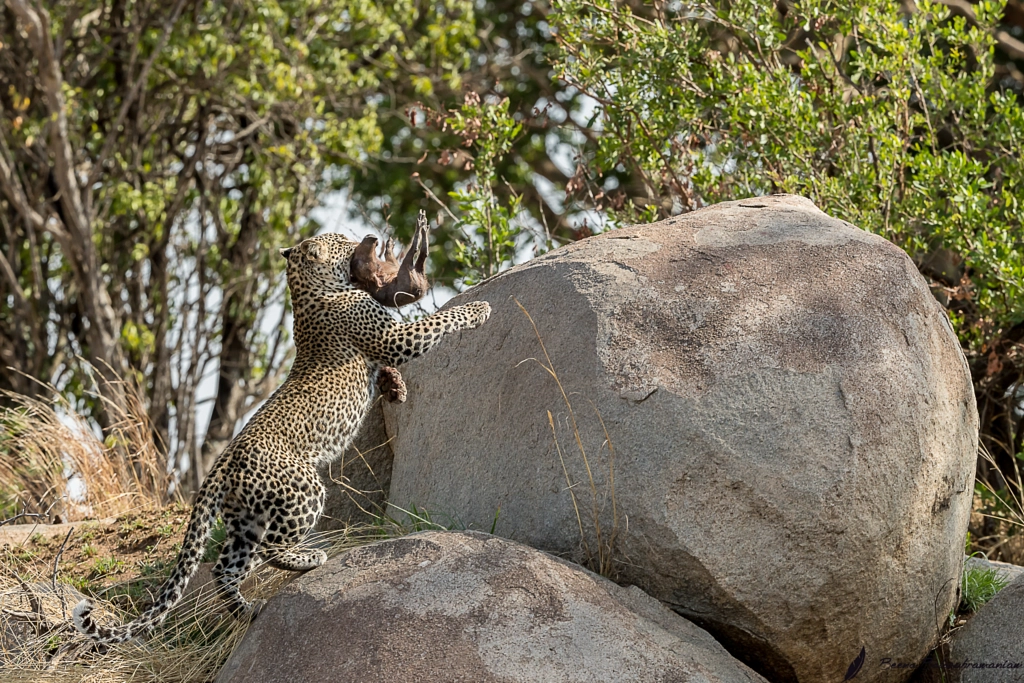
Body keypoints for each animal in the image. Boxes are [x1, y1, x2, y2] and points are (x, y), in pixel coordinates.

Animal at [71, 232, 487, 643]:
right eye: (343, 240)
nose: (367, 237)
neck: (307, 289)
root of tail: (223, 462)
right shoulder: (392, 338)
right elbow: (435, 321)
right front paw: (479, 308)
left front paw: (395, 387)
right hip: (302, 491)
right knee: (270, 547)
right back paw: (308, 559)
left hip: (246, 517)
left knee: (226, 567)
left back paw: (248, 612)